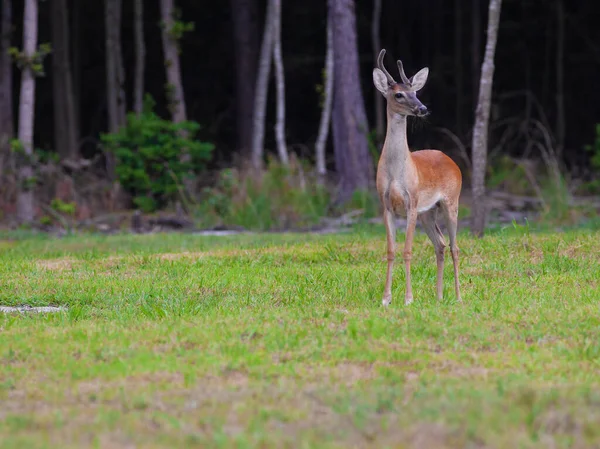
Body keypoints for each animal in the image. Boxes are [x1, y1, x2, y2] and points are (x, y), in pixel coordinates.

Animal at [370, 50, 464, 308]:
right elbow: (391, 251)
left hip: (451, 202)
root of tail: (451, 161)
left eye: (416, 92)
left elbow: (407, 251)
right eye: (399, 94)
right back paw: (439, 296)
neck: (396, 171)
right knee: (440, 245)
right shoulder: (386, 206)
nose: (422, 108)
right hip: (428, 212)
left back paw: (458, 296)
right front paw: (386, 298)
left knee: (454, 247)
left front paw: (408, 298)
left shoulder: (411, 202)